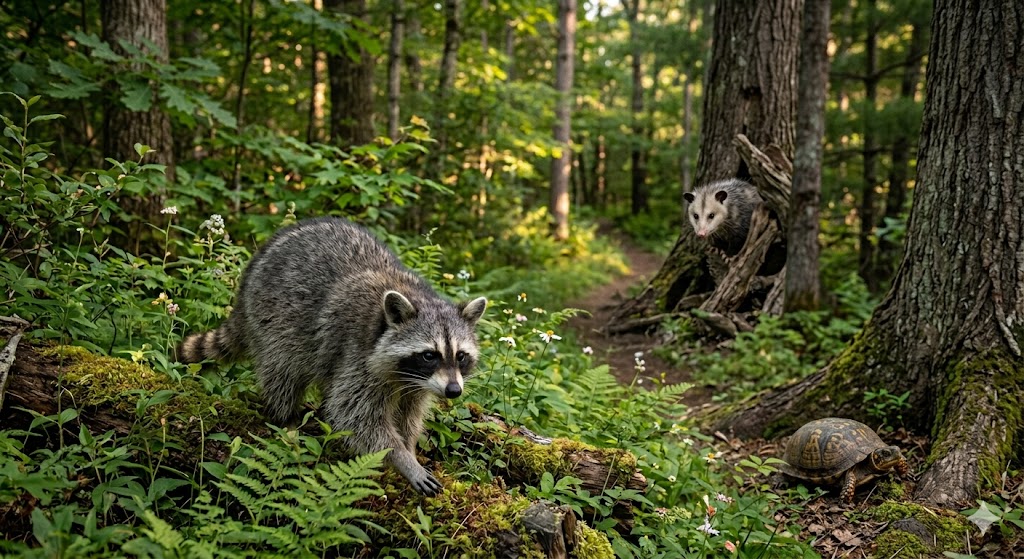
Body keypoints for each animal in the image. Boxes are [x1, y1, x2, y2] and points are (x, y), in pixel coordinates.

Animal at [178, 217, 487, 496]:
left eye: (460, 356)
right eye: (429, 355)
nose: (454, 391)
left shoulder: (417, 384)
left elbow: (408, 415)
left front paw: (409, 448)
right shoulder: (358, 355)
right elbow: (355, 415)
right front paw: (402, 459)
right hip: (271, 314)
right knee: (282, 369)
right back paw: (285, 418)